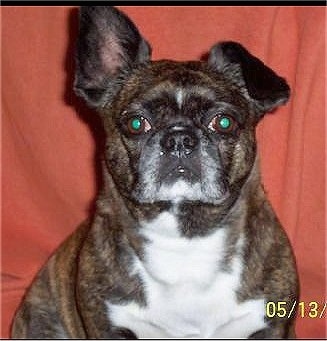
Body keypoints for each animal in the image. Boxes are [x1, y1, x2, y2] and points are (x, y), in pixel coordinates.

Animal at [11, 5, 300, 338]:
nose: (179, 139)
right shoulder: (105, 327)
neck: (185, 238)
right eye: (136, 124)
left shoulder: (274, 326)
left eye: (224, 122)